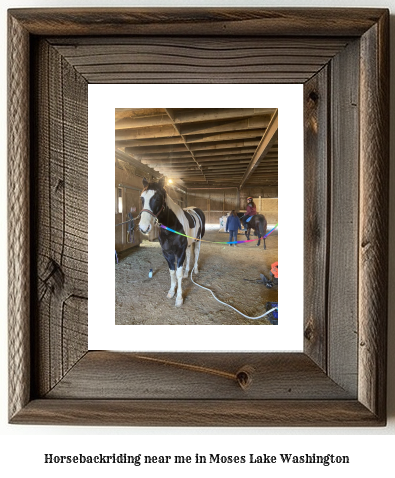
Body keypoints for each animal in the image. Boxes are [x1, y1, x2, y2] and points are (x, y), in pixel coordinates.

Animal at [139, 177, 206, 308]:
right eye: (142, 198)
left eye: (157, 198)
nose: (144, 227)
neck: (173, 226)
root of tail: (196, 209)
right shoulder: (167, 252)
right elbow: (172, 272)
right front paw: (171, 291)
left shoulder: (179, 252)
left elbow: (178, 273)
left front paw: (179, 298)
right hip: (188, 245)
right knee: (189, 255)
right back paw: (187, 273)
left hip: (198, 240)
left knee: (196, 253)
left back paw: (195, 270)